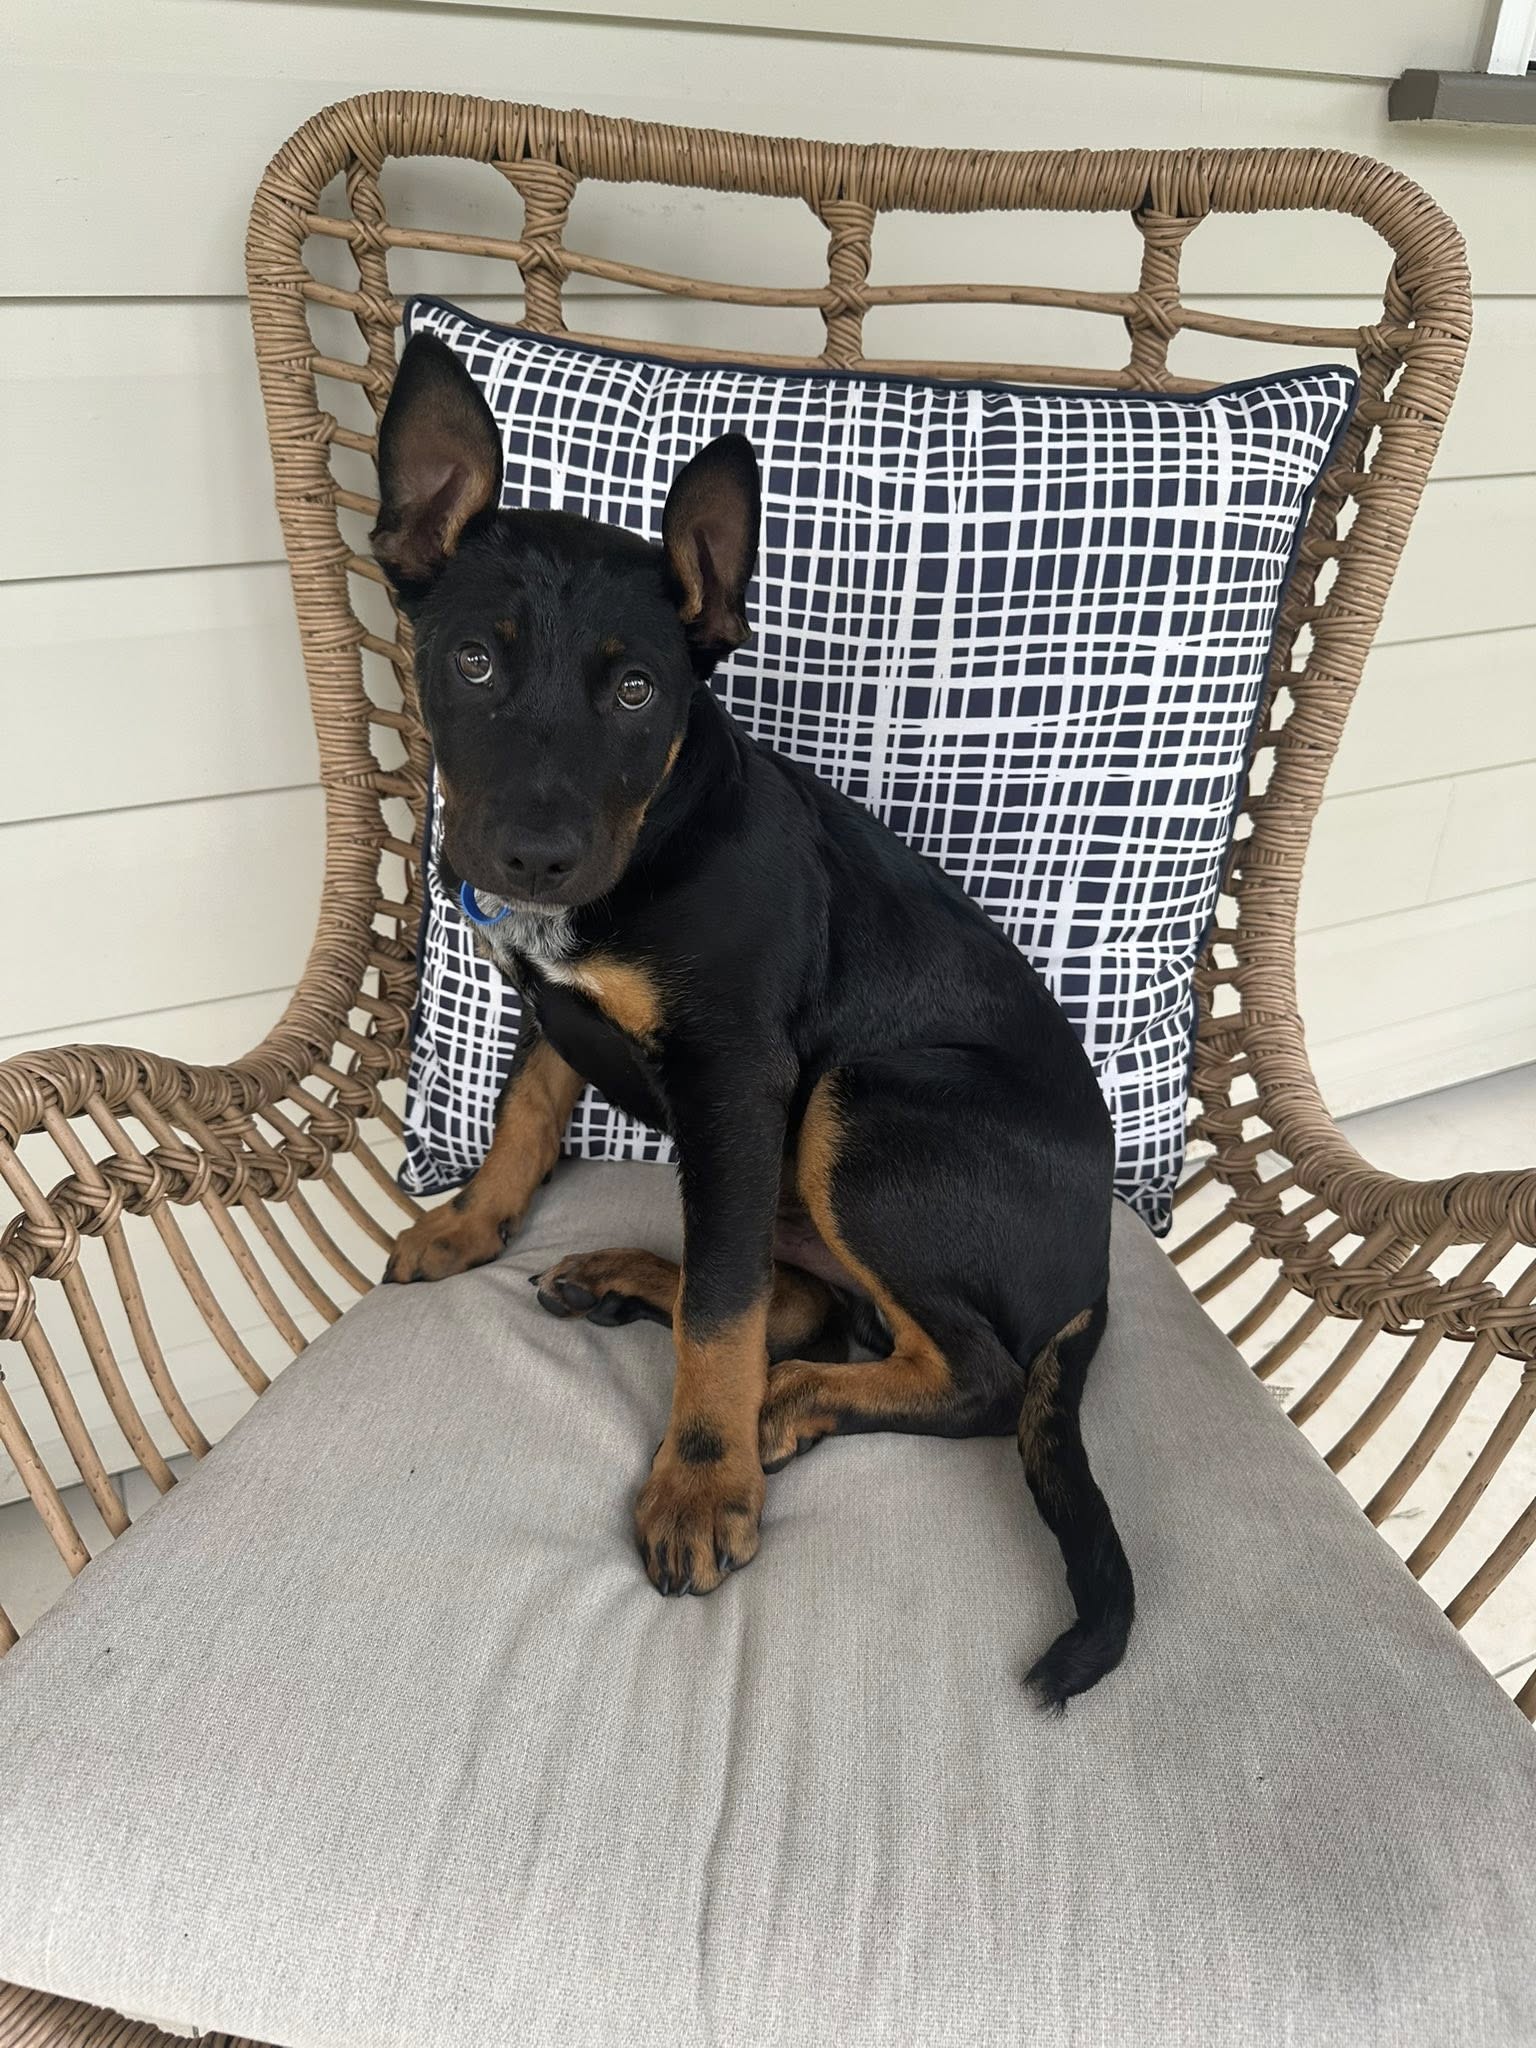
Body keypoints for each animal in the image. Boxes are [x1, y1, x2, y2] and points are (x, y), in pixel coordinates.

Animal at [373, 333, 1134, 1707]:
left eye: (636, 689)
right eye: (472, 661)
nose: (534, 857)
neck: (650, 840)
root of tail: (1094, 1275)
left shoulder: (734, 1076)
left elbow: (722, 1312)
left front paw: (700, 1480)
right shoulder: (557, 1012)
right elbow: (523, 1122)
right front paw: (467, 1227)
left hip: (862, 1106)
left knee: (971, 1373)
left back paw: (780, 1402)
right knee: (806, 1294)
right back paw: (635, 1281)